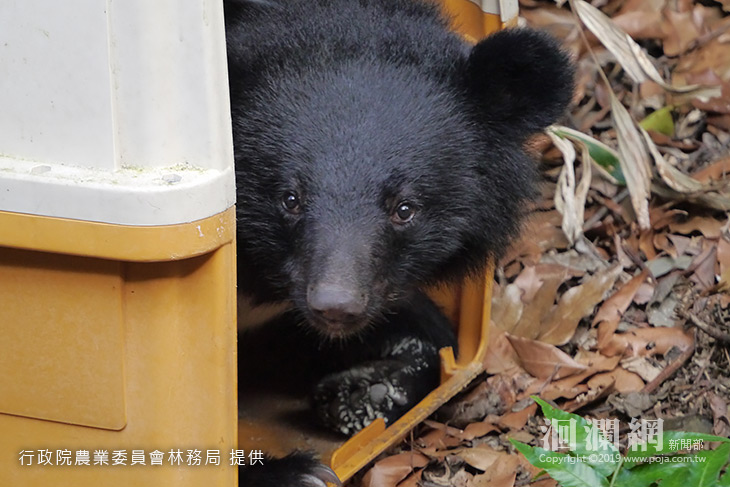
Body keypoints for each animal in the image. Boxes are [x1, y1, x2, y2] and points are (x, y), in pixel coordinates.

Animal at [224, 0, 574, 485]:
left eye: (404, 208)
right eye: (290, 199)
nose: (336, 307)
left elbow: (434, 337)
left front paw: (363, 392)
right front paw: (296, 471)